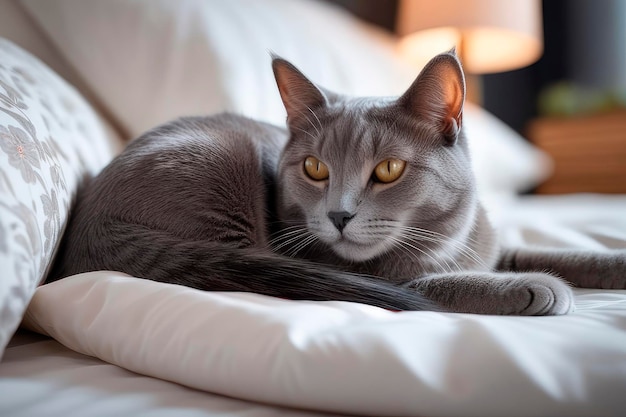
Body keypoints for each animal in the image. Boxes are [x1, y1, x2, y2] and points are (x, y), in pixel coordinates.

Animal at [50, 51, 624, 312]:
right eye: (315, 169)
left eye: (388, 170)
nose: (339, 215)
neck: (446, 240)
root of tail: (88, 222)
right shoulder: (378, 275)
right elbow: (440, 282)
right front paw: (534, 288)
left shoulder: (493, 246)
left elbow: (553, 253)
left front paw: (607, 264)